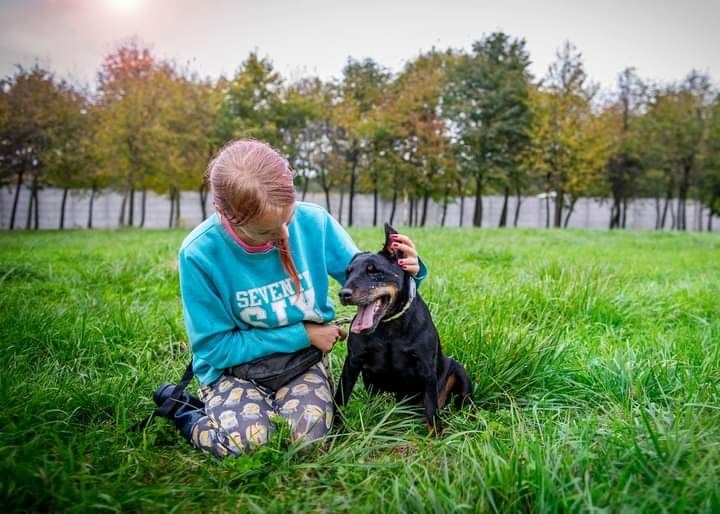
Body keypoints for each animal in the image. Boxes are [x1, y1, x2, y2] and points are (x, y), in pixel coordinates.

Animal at [334, 222, 470, 430]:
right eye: (347, 272)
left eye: (374, 270)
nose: (343, 294)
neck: (389, 327)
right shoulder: (353, 362)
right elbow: (340, 398)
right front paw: (334, 432)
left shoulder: (426, 368)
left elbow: (431, 411)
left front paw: (435, 434)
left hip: (459, 372)